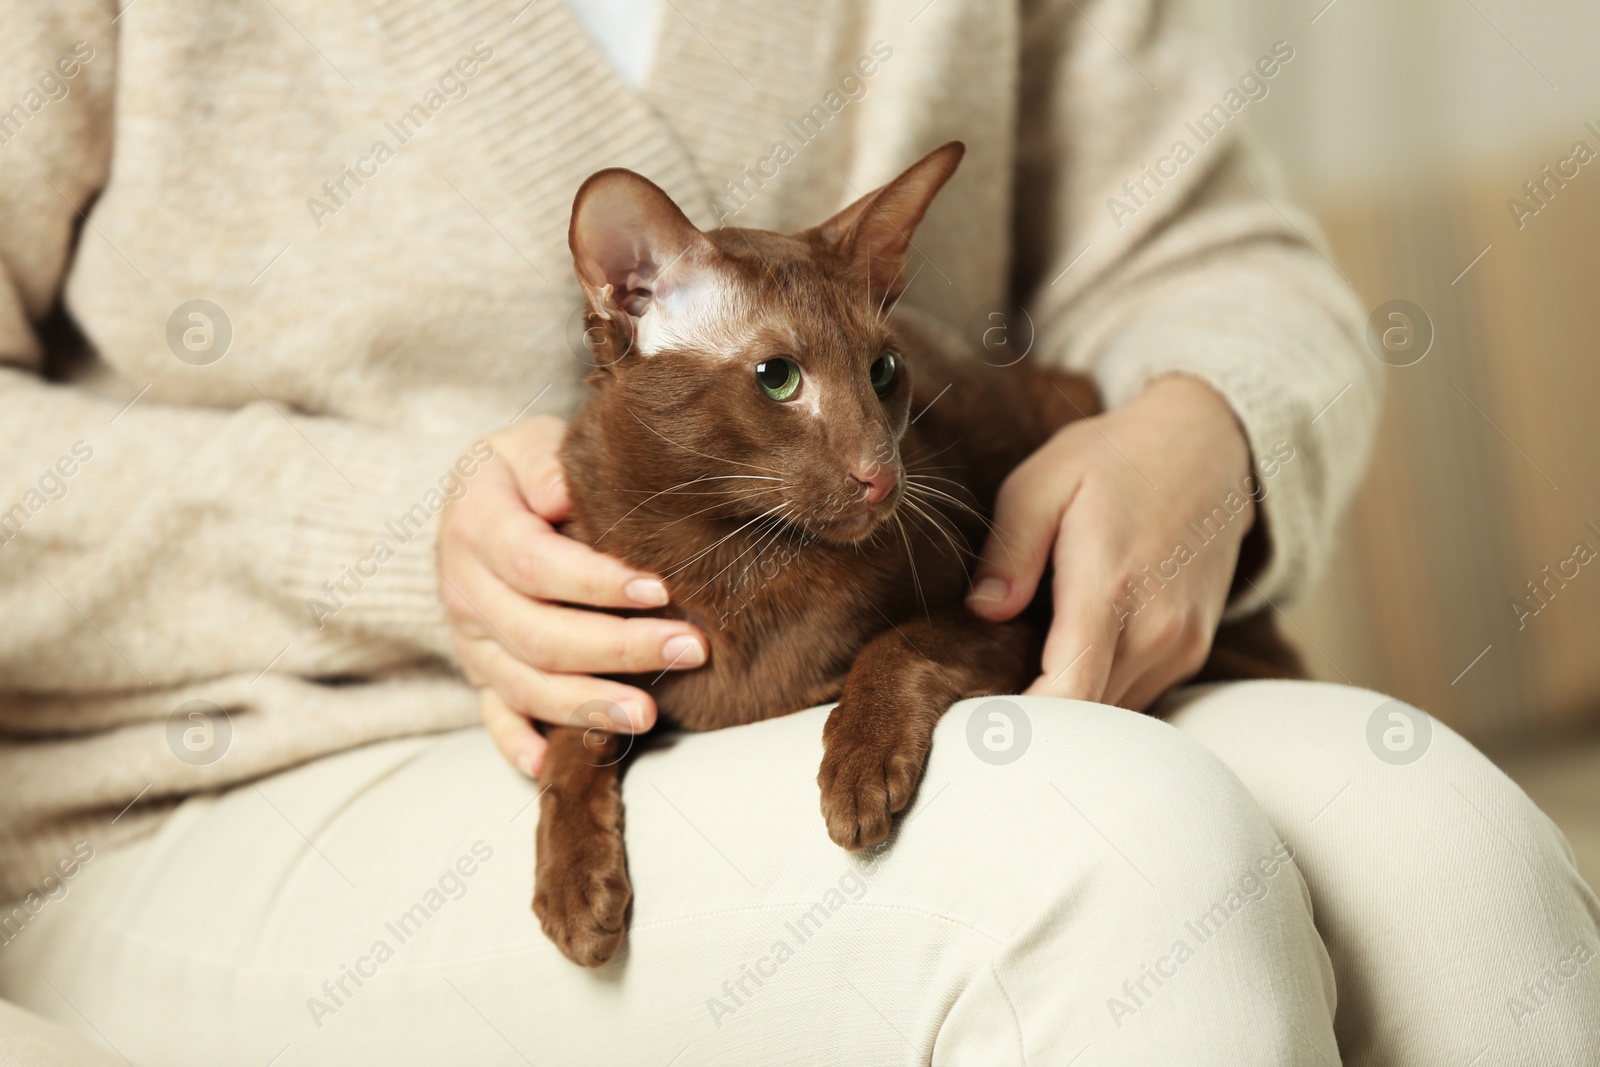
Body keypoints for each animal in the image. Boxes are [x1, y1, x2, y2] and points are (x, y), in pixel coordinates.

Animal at [534, 141, 1299, 966]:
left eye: (884, 372)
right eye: (777, 377)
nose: (883, 474)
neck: (737, 554)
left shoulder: (1014, 620)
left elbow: (901, 643)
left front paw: (859, 770)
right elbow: (574, 736)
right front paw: (575, 890)